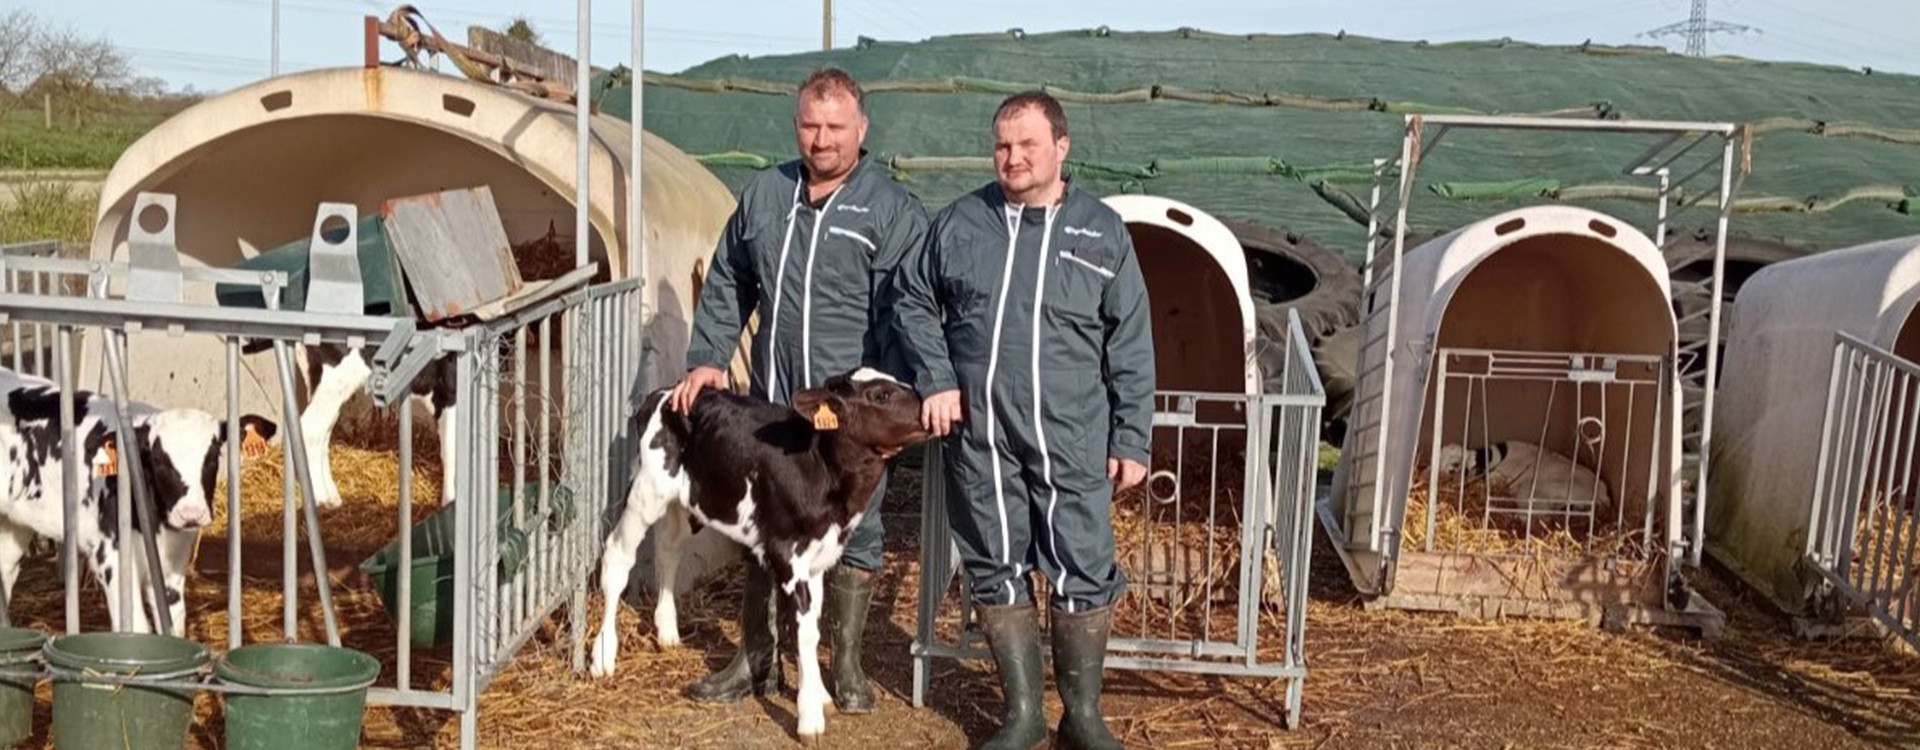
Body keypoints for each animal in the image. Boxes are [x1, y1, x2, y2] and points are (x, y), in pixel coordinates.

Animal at [0, 368, 276, 632]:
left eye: (213, 455)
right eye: (158, 459)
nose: (191, 514)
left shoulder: (172, 566)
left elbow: (174, 623)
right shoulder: (111, 559)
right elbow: (137, 627)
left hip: (13, 528)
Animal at [595, 366, 933, 744]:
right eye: (880, 395)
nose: (927, 407)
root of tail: (664, 393)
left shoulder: (819, 555)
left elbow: (813, 626)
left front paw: (819, 694)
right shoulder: (788, 553)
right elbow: (803, 632)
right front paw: (810, 718)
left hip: (682, 500)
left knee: (669, 547)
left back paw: (667, 632)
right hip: (645, 490)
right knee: (617, 556)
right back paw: (603, 655)